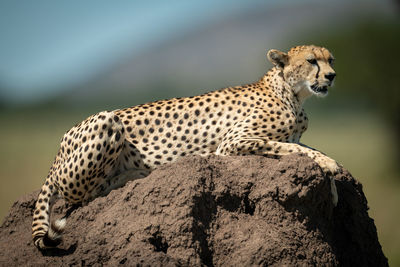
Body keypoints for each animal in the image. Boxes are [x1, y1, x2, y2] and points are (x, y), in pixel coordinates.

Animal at [33, 45, 340, 250]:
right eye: (311, 61)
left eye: (331, 60)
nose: (332, 76)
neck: (293, 94)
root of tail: (58, 149)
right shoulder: (233, 143)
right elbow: (298, 150)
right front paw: (329, 167)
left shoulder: (285, 137)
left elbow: (310, 149)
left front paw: (333, 185)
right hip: (106, 120)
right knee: (79, 196)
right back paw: (135, 175)